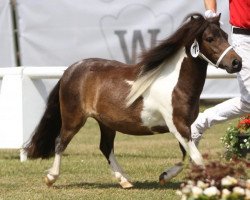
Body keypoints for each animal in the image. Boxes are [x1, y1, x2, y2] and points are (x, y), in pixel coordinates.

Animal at [24, 13, 241, 188]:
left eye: (226, 35)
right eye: (210, 38)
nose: (236, 63)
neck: (175, 84)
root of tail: (70, 70)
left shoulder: (184, 126)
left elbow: (187, 154)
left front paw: (164, 176)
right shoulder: (177, 125)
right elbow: (196, 157)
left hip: (106, 122)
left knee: (105, 148)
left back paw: (125, 181)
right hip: (73, 118)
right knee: (60, 142)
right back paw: (51, 178)